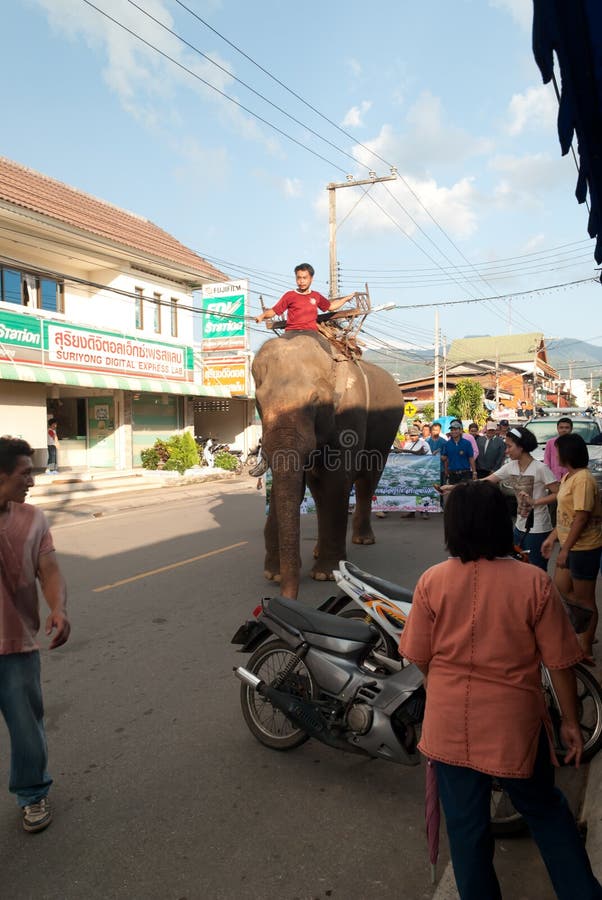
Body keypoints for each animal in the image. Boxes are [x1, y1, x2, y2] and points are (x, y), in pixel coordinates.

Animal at [250, 334, 404, 600]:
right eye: (258, 402)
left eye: (315, 401)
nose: (285, 597)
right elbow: (295, 485)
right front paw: (274, 574)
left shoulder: (349, 414)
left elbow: (335, 480)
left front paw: (325, 575)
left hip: (386, 435)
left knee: (367, 481)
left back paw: (362, 540)